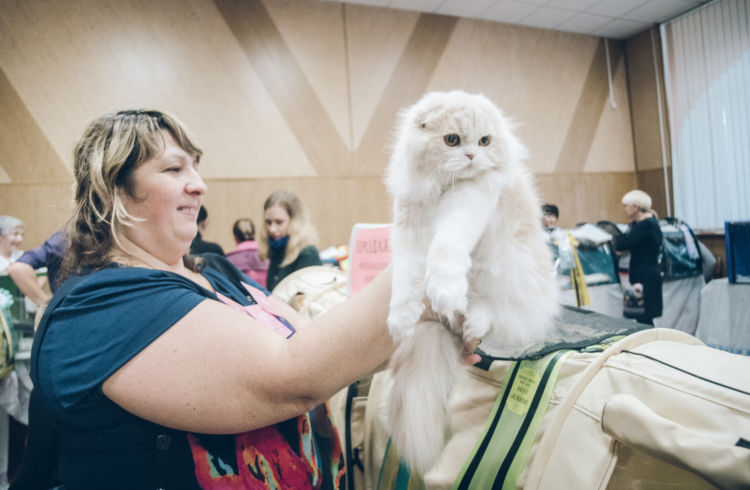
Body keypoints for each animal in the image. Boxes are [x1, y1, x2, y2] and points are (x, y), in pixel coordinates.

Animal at [388, 89, 560, 474]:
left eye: (485, 141)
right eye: (452, 140)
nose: (471, 156)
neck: (440, 189)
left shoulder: (468, 204)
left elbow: (445, 250)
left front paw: (443, 289)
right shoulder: (408, 229)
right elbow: (404, 283)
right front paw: (400, 321)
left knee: (485, 314)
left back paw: (464, 314)